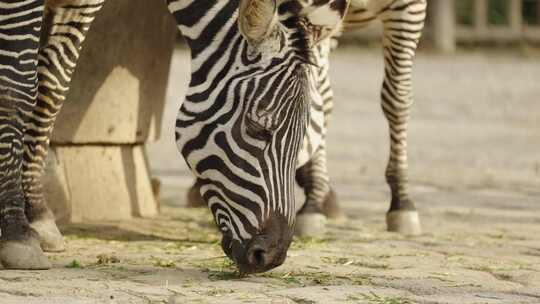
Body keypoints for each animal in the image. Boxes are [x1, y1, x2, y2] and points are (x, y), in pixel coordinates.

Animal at [0, 0, 352, 274]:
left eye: (303, 138)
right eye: (257, 128)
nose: (271, 257)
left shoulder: (80, 6)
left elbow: (51, 91)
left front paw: (38, 215)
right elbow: (16, 88)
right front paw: (16, 232)